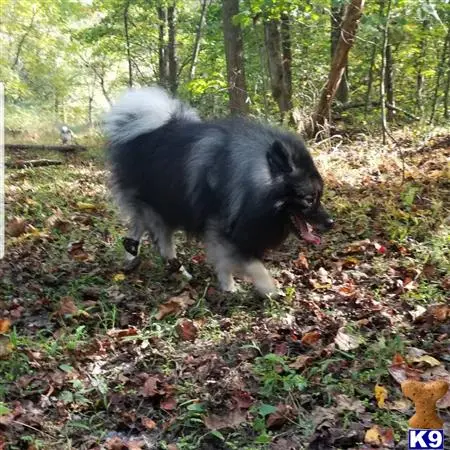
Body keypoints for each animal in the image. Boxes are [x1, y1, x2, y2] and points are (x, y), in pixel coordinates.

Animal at [103, 86, 334, 298]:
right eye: (308, 199)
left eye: (319, 197)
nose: (331, 223)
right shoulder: (221, 229)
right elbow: (253, 265)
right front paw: (268, 289)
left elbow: (226, 264)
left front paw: (228, 286)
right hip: (158, 206)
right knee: (156, 238)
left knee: (144, 232)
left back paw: (147, 260)